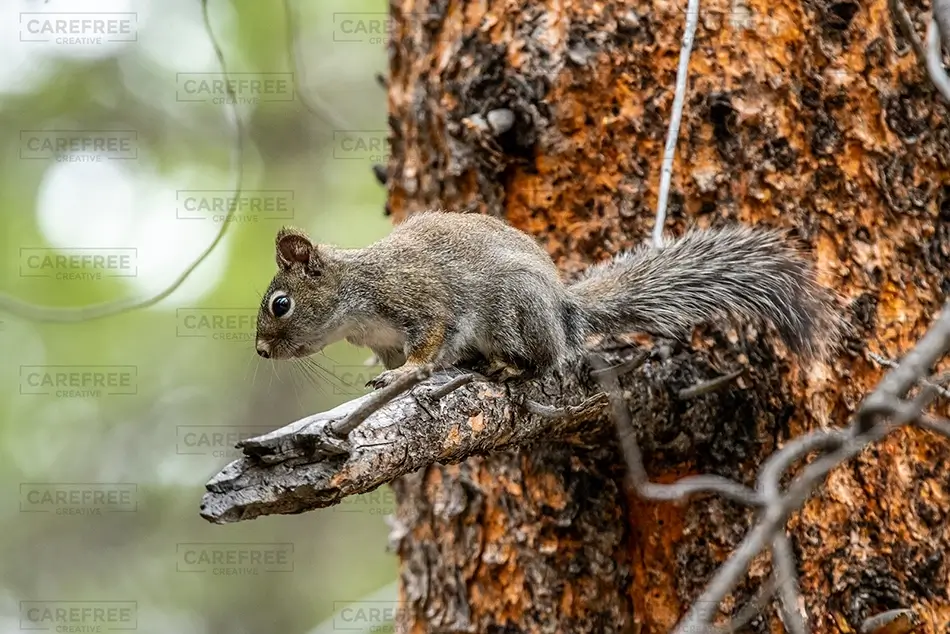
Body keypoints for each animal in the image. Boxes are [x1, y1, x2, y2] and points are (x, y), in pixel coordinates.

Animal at [255, 212, 842, 388]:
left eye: (280, 304)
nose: (260, 352)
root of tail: (564, 310)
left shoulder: (417, 298)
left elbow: (429, 341)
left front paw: (408, 374)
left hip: (513, 311)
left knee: (543, 358)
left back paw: (508, 366)